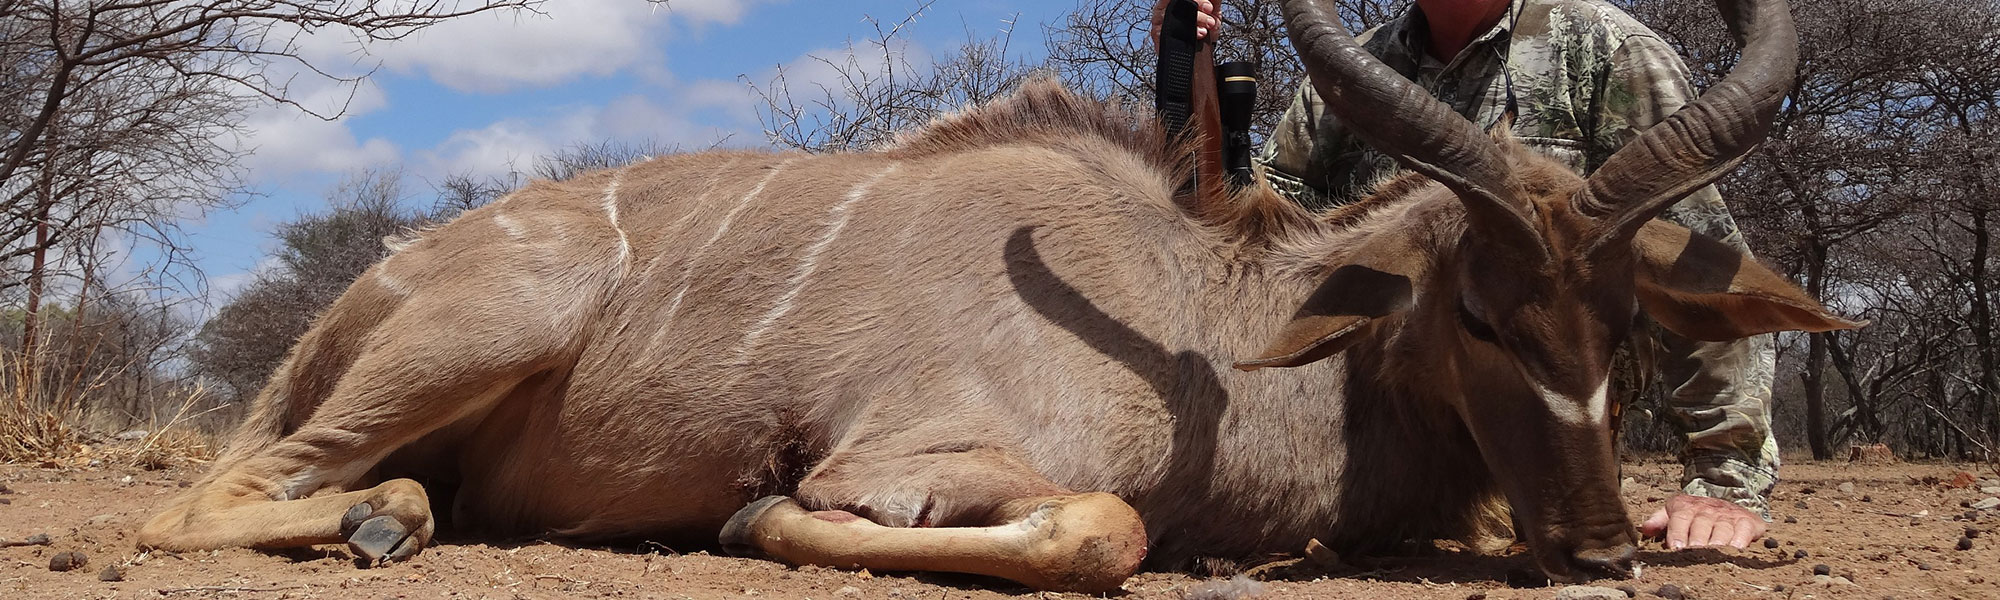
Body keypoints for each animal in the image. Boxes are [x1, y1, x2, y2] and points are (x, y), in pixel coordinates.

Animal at [141, 0, 1848, 592]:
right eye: (1481, 316)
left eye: (1623, 329)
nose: (1603, 550)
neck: (1205, 324)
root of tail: (359, 294)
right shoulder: (910, 457)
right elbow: (1103, 532)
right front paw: (752, 515)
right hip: (482, 331)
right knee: (206, 499)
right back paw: (381, 521)